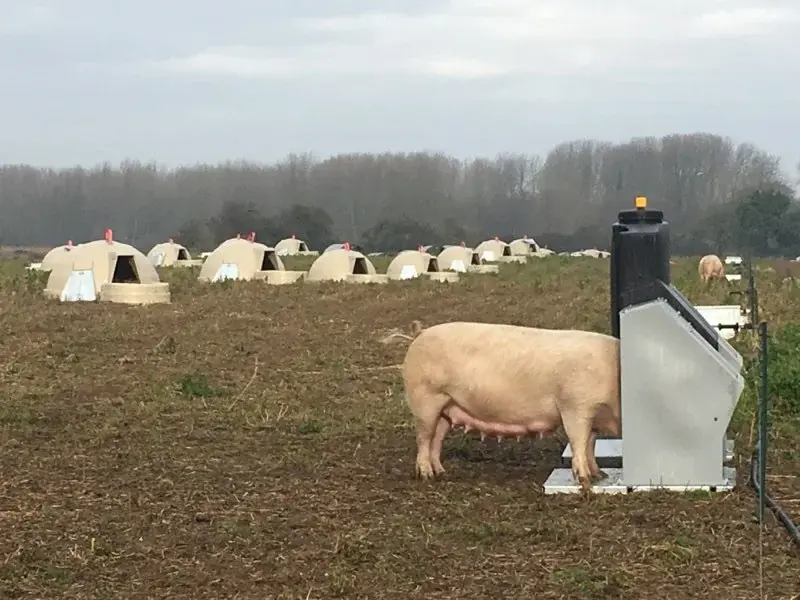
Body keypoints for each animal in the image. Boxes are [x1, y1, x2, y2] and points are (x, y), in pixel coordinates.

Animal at [398, 321, 621, 491]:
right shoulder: (574, 407)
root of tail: (421, 333)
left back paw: (441, 472)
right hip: (425, 401)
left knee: (436, 439)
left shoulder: (593, 418)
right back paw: (426, 475)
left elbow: (590, 444)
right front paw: (586, 483)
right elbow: (579, 443)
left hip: (446, 407)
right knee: (423, 439)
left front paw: (600, 475)